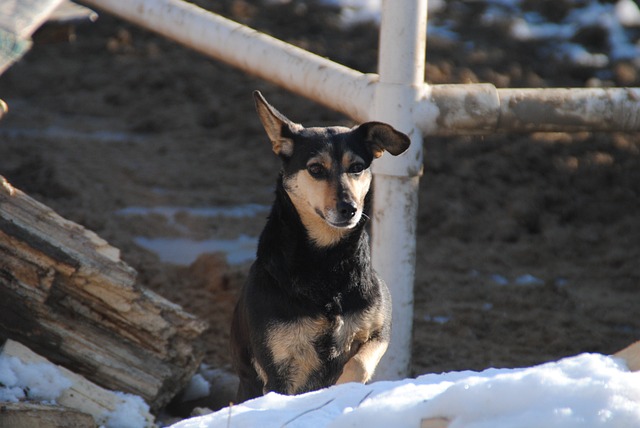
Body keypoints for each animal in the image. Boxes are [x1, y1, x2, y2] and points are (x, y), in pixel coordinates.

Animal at [230, 90, 410, 402]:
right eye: (315, 169)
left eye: (357, 167)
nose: (349, 208)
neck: (327, 262)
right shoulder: (279, 368)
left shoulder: (380, 330)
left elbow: (359, 364)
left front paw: (341, 389)